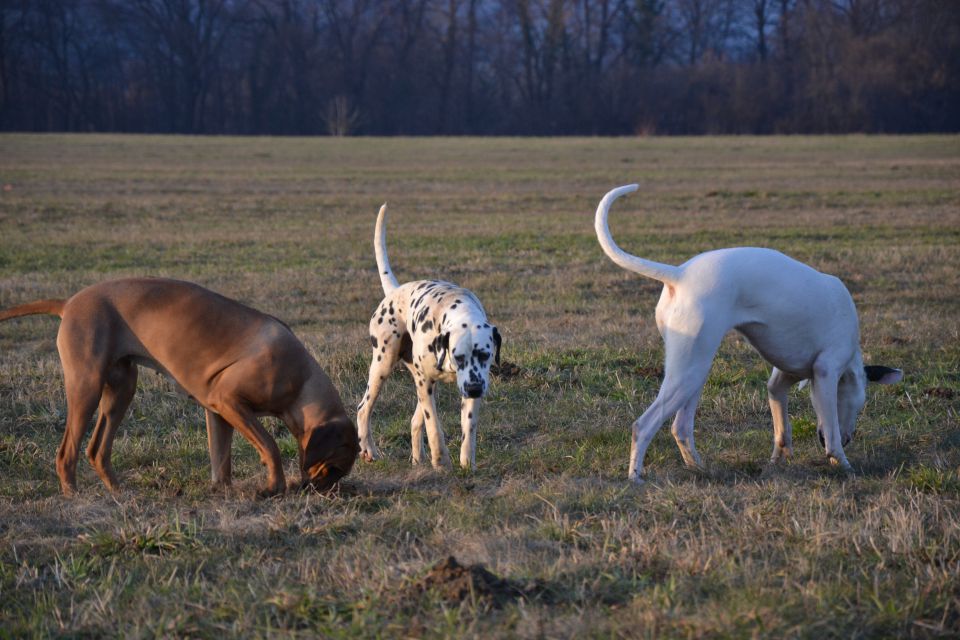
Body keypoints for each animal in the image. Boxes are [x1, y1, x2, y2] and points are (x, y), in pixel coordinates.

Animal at [0, 278, 358, 498]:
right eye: (334, 468)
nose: (320, 492)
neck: (301, 381)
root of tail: (69, 303)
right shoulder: (229, 400)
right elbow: (269, 445)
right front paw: (273, 488)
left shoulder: (219, 412)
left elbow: (221, 459)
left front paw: (222, 491)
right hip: (86, 385)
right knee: (67, 452)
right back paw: (73, 495)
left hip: (121, 390)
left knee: (96, 449)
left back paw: (118, 491)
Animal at [354, 205, 502, 470]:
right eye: (458, 356)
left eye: (485, 355)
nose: (474, 389)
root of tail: (395, 291)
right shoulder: (427, 383)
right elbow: (434, 426)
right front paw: (441, 460)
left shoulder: (471, 381)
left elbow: (469, 426)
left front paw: (467, 462)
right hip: (383, 364)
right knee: (363, 408)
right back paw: (369, 449)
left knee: (414, 420)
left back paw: (417, 458)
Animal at [596, 182, 904, 482]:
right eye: (860, 405)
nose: (851, 437)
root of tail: (679, 273)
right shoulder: (826, 373)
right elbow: (832, 435)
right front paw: (844, 465)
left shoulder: (780, 382)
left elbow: (782, 430)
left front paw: (779, 462)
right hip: (688, 372)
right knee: (643, 425)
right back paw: (635, 478)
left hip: (696, 372)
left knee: (680, 427)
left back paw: (700, 469)